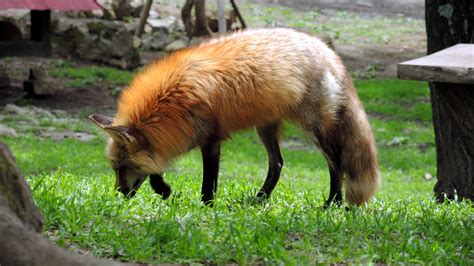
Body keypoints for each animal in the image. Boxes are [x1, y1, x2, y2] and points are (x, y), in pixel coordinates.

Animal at [90, 28, 382, 207]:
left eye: (123, 168)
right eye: (115, 168)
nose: (118, 195)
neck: (171, 97)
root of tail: (327, 50)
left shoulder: (210, 139)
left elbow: (208, 182)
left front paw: (206, 206)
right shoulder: (178, 135)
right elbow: (156, 168)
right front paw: (164, 189)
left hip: (315, 129)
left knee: (337, 165)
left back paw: (333, 203)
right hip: (265, 128)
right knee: (277, 163)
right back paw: (260, 199)